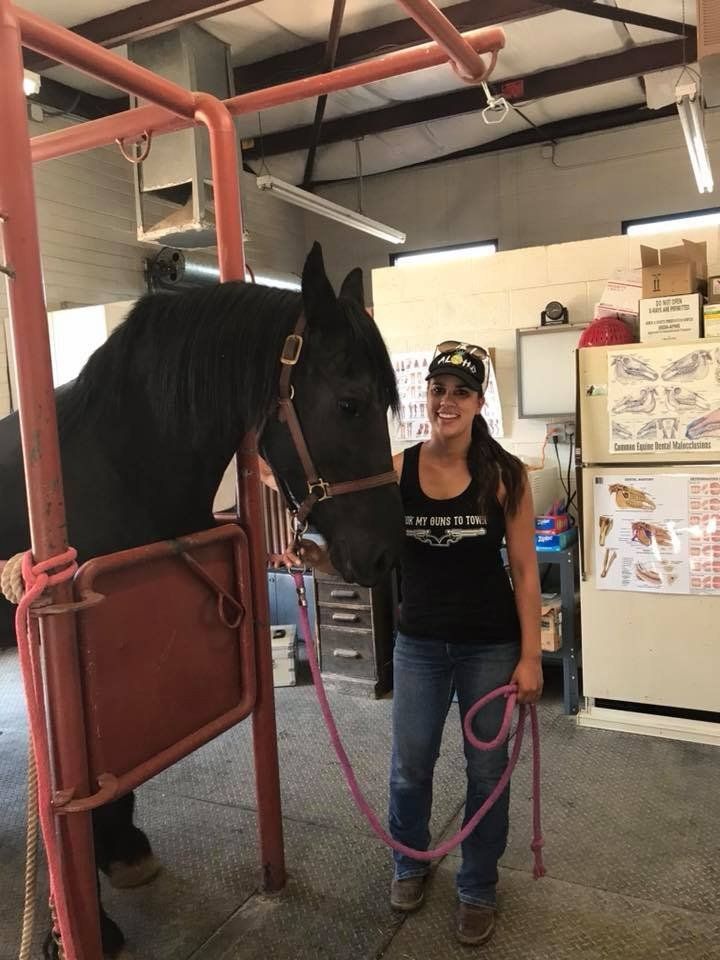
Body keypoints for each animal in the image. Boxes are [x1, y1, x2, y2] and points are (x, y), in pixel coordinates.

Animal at [0, 242, 404, 958]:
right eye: (351, 403)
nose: (385, 556)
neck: (117, 462)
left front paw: (124, 851)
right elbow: (73, 782)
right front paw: (86, 923)